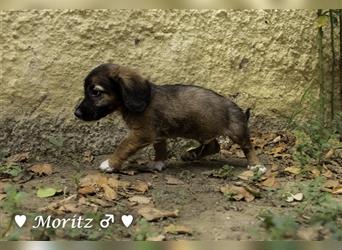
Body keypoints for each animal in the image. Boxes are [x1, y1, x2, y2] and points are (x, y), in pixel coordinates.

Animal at [74, 64, 268, 174]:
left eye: (96, 92)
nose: (76, 113)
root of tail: (238, 109)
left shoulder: (142, 133)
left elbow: (123, 146)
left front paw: (111, 163)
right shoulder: (158, 134)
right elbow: (160, 149)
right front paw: (158, 163)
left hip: (236, 131)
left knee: (247, 147)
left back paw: (256, 166)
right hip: (201, 129)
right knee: (214, 145)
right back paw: (191, 154)